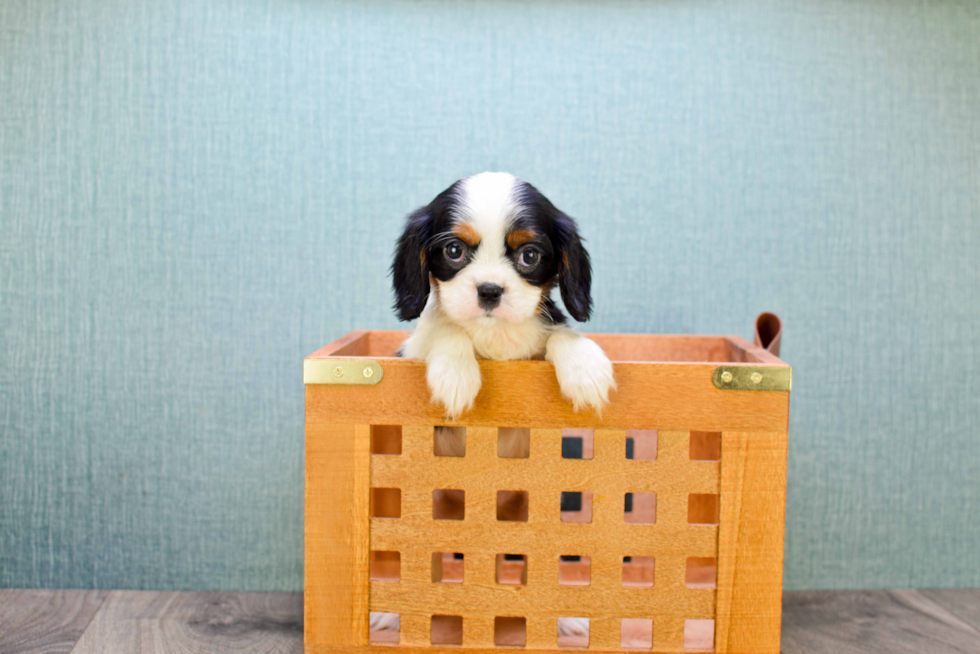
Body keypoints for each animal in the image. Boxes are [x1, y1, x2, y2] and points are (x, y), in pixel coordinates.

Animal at [390, 173, 612, 420]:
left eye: (529, 255)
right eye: (454, 250)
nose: (489, 290)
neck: (495, 330)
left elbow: (561, 332)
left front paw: (585, 368)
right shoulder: (411, 350)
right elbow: (445, 329)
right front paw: (455, 374)